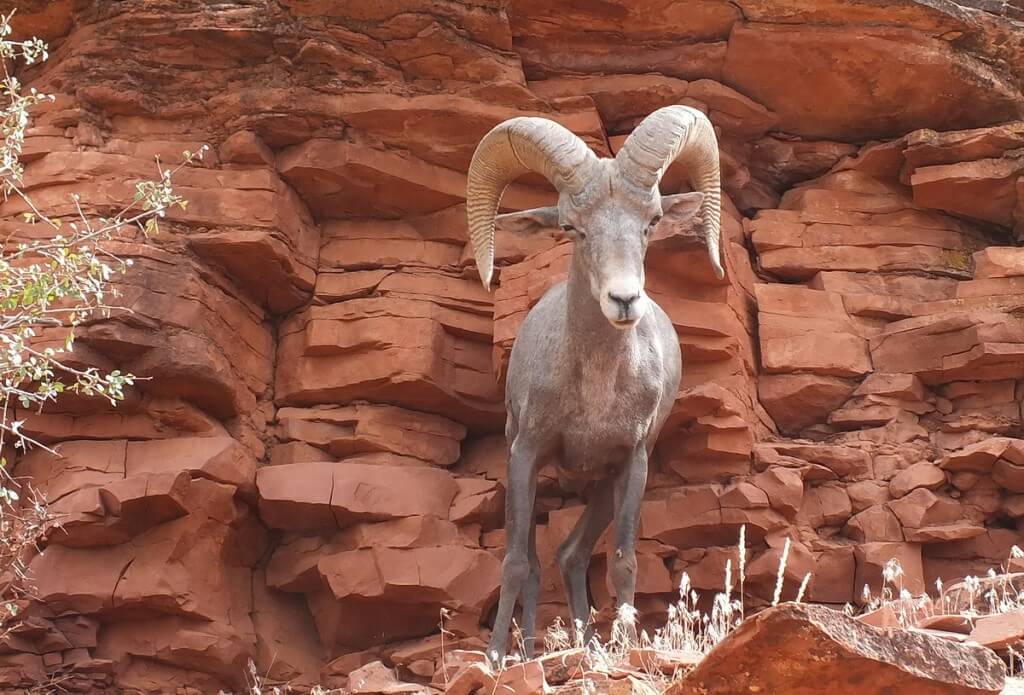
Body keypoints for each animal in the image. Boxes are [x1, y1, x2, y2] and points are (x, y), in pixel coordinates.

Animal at [468, 105, 724, 667]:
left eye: (651, 222)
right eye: (571, 227)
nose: (624, 300)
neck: (596, 395)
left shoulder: (632, 464)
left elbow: (623, 561)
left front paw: (625, 650)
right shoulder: (526, 454)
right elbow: (515, 563)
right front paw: (495, 659)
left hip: (605, 486)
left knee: (571, 554)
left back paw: (588, 646)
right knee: (538, 562)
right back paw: (528, 654)